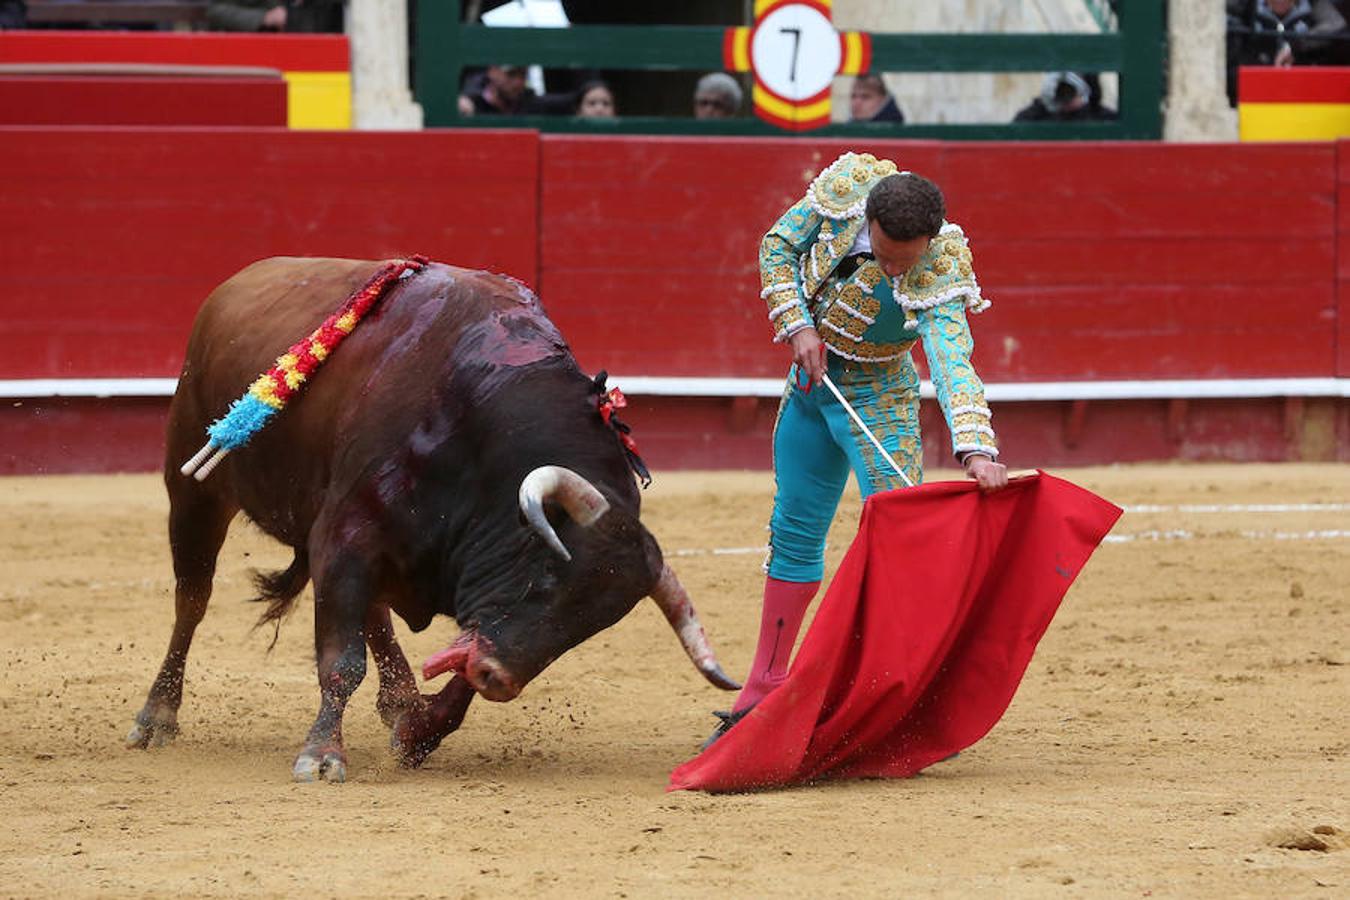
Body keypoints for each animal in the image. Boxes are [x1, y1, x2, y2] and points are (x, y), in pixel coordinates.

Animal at [125, 255, 734, 782]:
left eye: (590, 625)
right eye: (545, 578)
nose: (500, 680)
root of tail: (234, 284)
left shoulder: (445, 590)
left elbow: (459, 668)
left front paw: (416, 732)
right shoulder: (345, 537)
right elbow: (341, 660)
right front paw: (322, 757)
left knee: (375, 614)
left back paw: (400, 701)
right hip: (194, 493)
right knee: (192, 599)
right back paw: (156, 718)